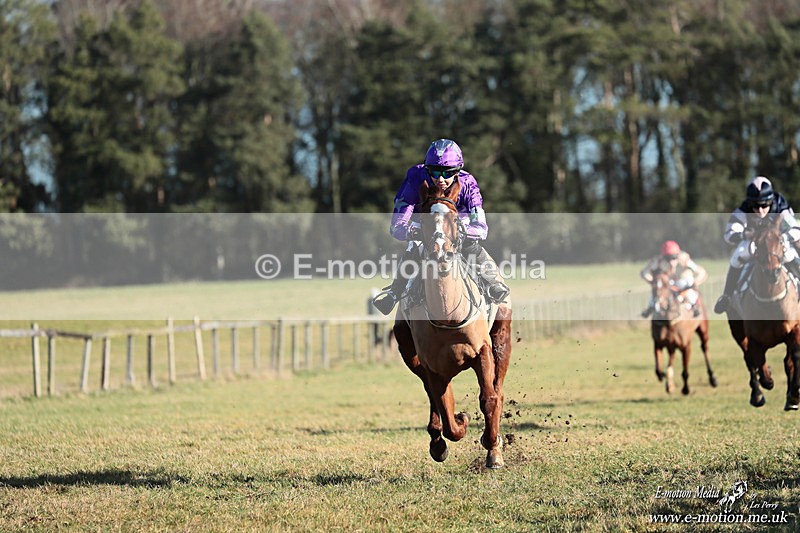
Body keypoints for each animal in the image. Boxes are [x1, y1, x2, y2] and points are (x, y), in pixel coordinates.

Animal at [391, 179, 513, 469]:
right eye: (423, 218)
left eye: (455, 218)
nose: (441, 251)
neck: (448, 314)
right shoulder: (433, 366)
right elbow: (447, 415)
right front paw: (460, 421)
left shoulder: (482, 351)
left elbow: (489, 398)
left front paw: (492, 448)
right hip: (411, 355)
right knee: (431, 396)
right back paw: (437, 441)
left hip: (502, 337)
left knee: (498, 388)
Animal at [725, 214, 800, 409]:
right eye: (757, 244)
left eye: (780, 240)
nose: (772, 272)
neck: (770, 303)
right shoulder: (753, 339)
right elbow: (757, 363)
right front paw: (763, 386)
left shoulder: (794, 330)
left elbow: (795, 358)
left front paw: (794, 395)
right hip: (737, 329)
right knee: (749, 359)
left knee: (787, 361)